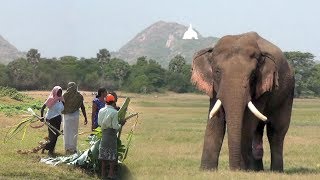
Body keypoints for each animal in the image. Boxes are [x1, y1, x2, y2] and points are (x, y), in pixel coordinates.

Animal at [191, 31, 294, 172]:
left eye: (253, 75)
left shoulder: (262, 88)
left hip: (287, 94)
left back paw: (275, 171)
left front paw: (242, 170)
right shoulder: (214, 88)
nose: (234, 169)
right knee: (258, 131)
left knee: (276, 131)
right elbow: (215, 121)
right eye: (217, 72)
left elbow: (248, 121)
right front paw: (207, 170)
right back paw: (257, 170)